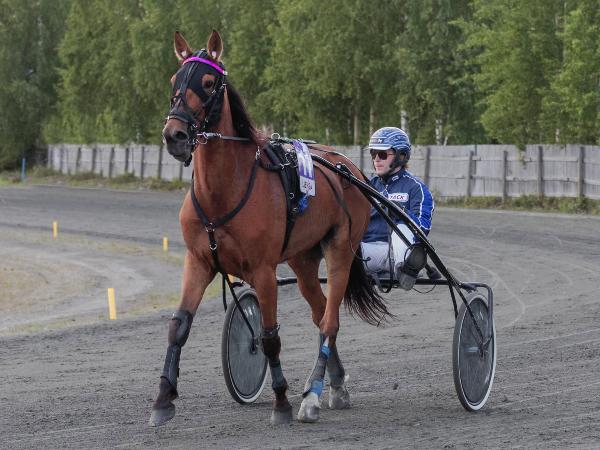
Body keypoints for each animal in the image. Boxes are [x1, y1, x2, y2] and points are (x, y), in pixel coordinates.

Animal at [149, 30, 390, 426]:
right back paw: (335, 384)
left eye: (208, 82)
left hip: (340, 248)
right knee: (320, 312)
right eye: (174, 80)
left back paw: (312, 396)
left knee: (330, 321)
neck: (222, 192)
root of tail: (347, 167)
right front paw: (163, 399)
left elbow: (269, 336)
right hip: (303, 260)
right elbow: (177, 327)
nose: (175, 134)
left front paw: (281, 402)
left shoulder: (263, 270)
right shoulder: (198, 261)